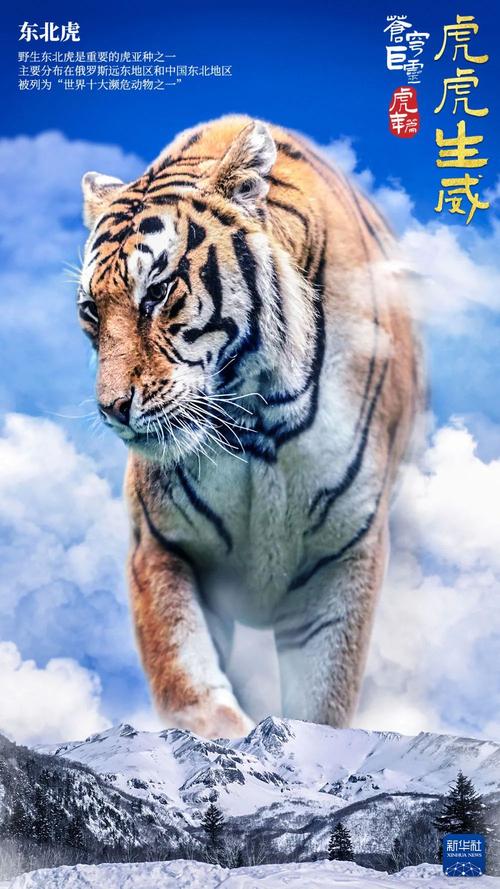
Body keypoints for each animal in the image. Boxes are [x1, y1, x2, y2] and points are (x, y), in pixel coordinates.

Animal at [78, 115, 422, 739]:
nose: (112, 407)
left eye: (157, 292)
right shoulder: (160, 547)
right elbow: (186, 680)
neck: (252, 421)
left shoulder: (344, 557)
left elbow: (322, 701)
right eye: (91, 309)